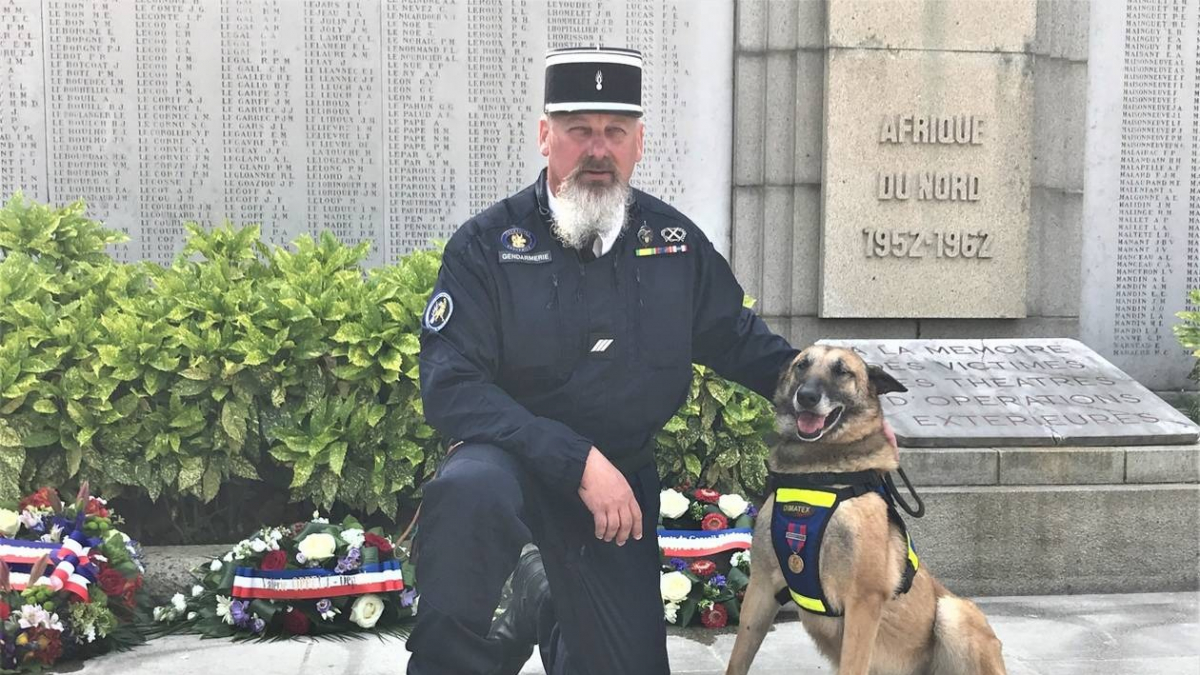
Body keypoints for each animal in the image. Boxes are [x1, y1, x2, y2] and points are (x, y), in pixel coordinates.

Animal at [724, 343, 1008, 672]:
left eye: (842, 371)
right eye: (801, 365)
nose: (806, 396)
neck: (818, 474)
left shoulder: (863, 602)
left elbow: (853, 665)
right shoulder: (760, 590)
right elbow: (738, 659)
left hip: (953, 613)